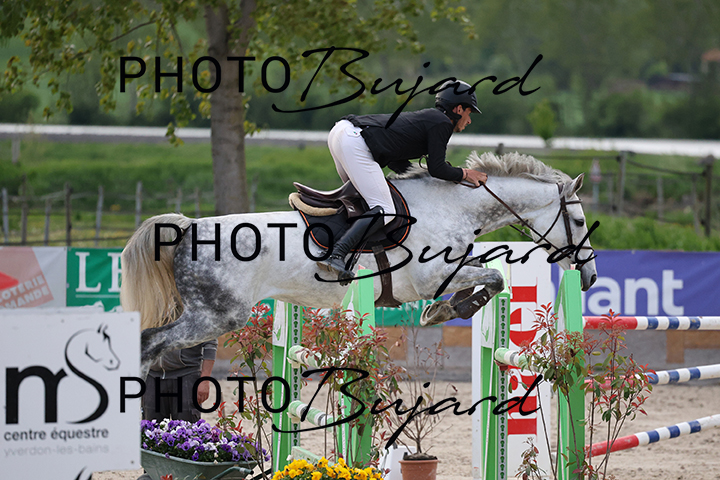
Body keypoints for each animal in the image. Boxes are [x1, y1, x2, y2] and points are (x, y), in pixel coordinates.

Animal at [121, 151, 598, 379]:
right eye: (578, 221)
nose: (590, 276)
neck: (452, 204)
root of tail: (187, 228)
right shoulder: (431, 275)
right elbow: (494, 276)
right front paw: (449, 309)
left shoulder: (450, 266)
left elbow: (488, 272)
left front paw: (445, 309)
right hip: (218, 315)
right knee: (149, 342)